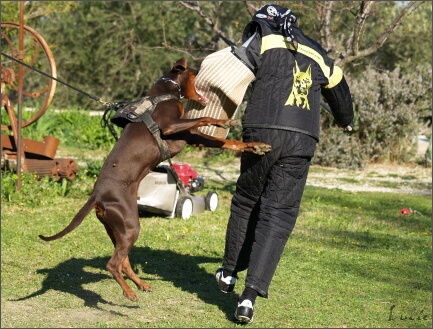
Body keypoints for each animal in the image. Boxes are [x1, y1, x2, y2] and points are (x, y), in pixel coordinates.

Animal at [39, 56, 270, 300]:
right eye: (196, 72)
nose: (205, 71)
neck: (165, 92)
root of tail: (96, 196)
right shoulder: (170, 126)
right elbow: (203, 117)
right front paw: (226, 122)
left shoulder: (191, 136)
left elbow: (228, 142)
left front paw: (257, 147)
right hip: (129, 225)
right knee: (113, 263)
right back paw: (128, 292)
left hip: (118, 227)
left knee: (123, 261)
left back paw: (141, 284)